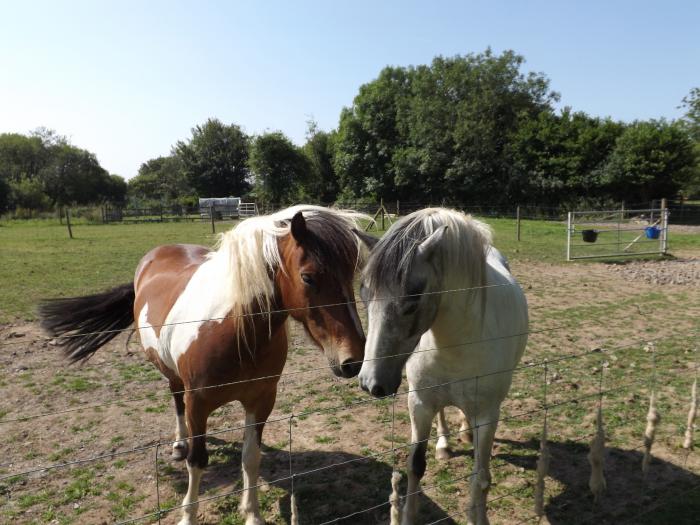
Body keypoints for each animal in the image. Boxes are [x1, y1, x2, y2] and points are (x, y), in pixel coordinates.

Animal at [39, 205, 370, 524]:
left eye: (351, 276)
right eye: (308, 277)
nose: (354, 360)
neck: (237, 332)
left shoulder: (262, 400)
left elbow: (251, 457)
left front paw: (252, 514)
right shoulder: (198, 403)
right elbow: (197, 461)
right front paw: (188, 516)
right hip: (173, 377)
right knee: (176, 402)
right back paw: (178, 443)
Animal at [358, 208, 528, 524]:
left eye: (413, 298)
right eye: (364, 294)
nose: (371, 383)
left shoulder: (488, 415)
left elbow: (480, 478)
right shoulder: (419, 404)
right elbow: (415, 465)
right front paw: (408, 517)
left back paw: (464, 432)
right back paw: (445, 445)